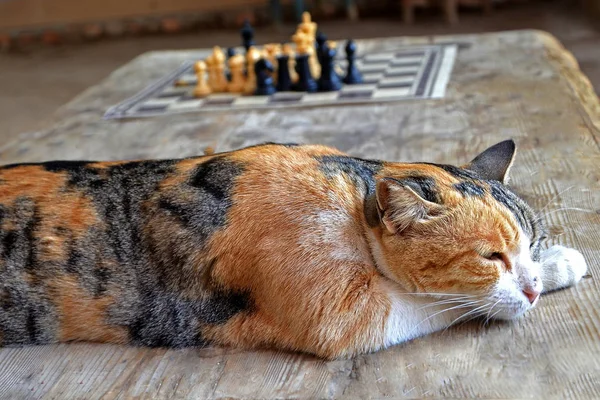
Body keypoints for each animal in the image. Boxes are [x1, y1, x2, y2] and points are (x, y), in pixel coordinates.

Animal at [0, 139, 584, 358]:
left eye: (529, 244)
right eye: (491, 258)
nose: (532, 289)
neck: (351, 206)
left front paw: (557, 262)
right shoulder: (342, 318)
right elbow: (445, 301)